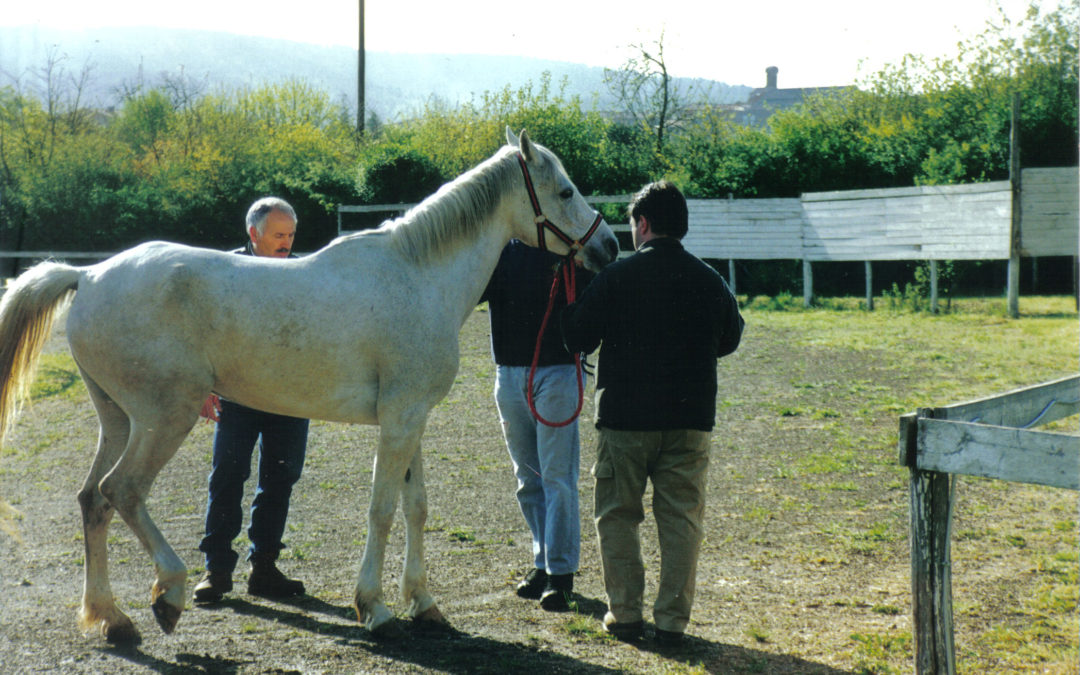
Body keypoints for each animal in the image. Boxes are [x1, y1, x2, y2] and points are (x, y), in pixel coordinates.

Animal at [0, 129, 617, 639]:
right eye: (564, 192)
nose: (608, 247)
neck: (418, 276)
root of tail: (89, 274)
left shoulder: (411, 417)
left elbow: (416, 507)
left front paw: (423, 603)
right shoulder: (399, 421)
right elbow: (382, 509)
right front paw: (376, 608)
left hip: (118, 419)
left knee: (92, 500)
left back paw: (111, 618)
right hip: (164, 417)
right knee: (122, 491)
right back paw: (168, 594)